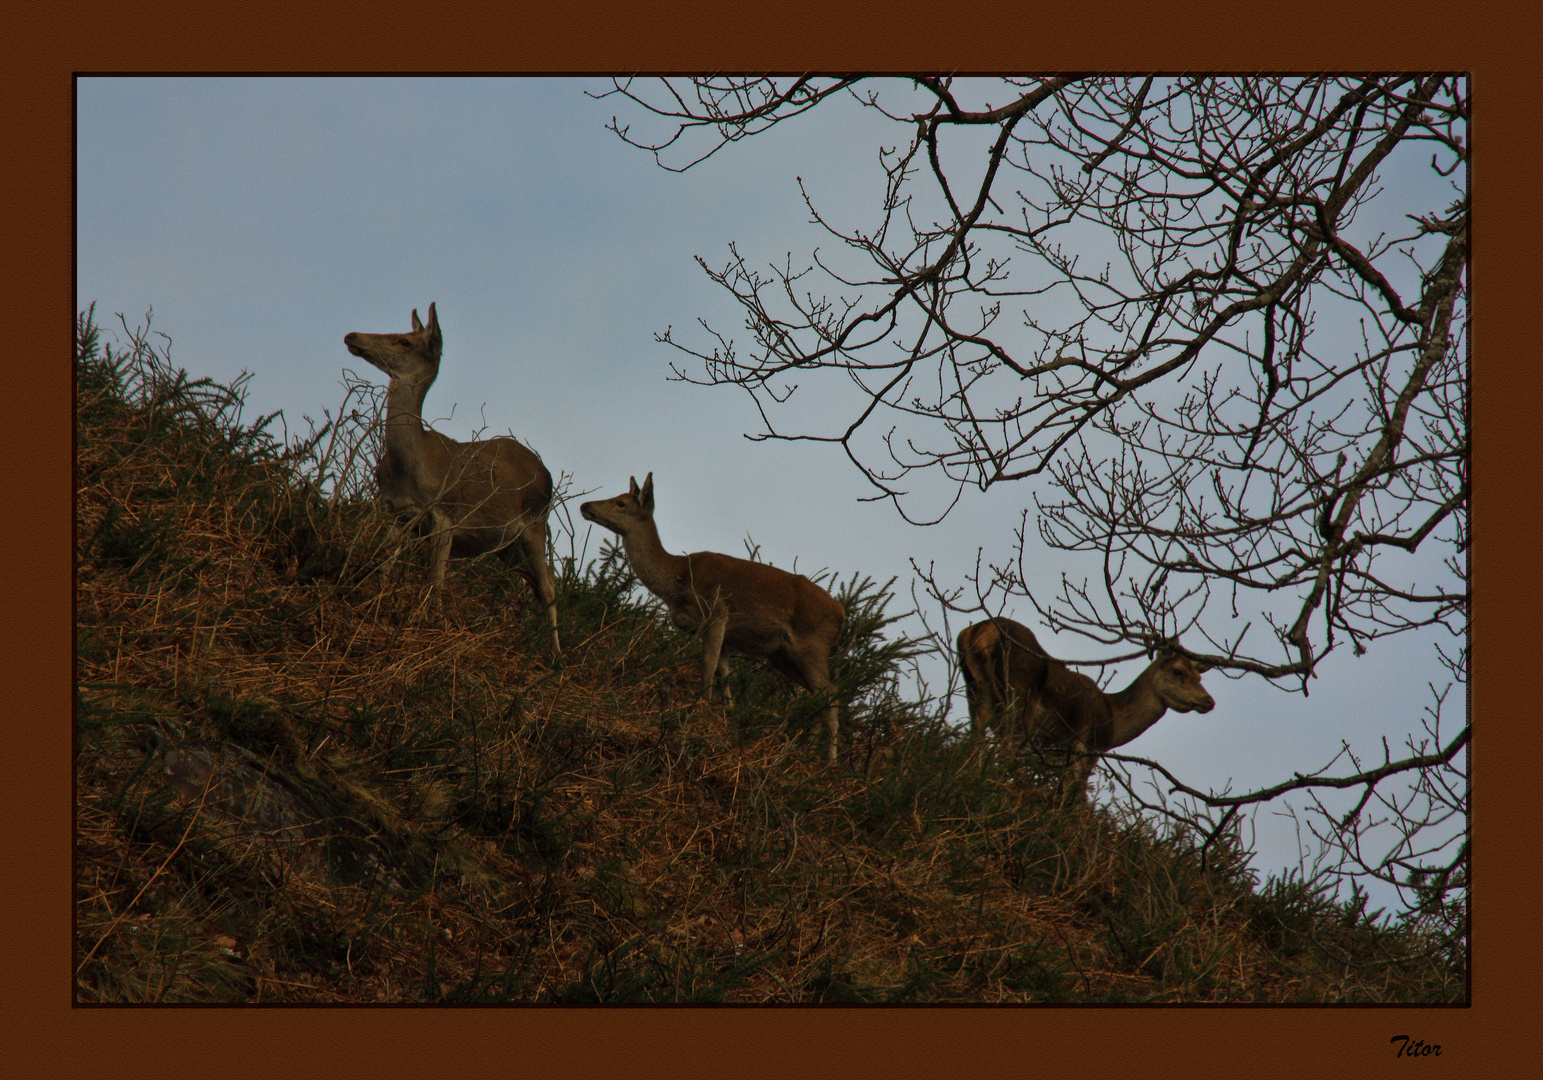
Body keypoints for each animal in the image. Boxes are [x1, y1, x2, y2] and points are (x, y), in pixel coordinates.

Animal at [344, 302, 561, 651]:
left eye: (403, 341)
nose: (352, 336)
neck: (413, 466)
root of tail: (547, 473)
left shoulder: (444, 514)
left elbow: (437, 578)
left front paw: (428, 622)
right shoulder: (395, 512)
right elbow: (382, 566)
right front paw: (373, 605)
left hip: (535, 523)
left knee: (548, 586)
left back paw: (556, 654)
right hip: (505, 546)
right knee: (537, 582)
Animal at [580, 475, 845, 762]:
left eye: (621, 503)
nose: (585, 505)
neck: (678, 582)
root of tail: (841, 613)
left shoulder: (716, 612)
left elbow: (707, 664)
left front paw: (702, 706)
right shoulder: (720, 631)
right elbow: (723, 670)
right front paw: (727, 711)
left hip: (812, 645)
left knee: (831, 692)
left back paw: (831, 760)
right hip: (781, 656)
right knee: (817, 695)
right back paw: (809, 750)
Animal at [950, 617, 1215, 802]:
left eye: (1199, 676)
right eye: (1178, 671)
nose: (1208, 701)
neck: (1113, 721)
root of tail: (980, 630)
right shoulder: (1087, 747)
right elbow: (1076, 799)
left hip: (976, 694)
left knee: (974, 746)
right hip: (1018, 701)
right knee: (1004, 754)